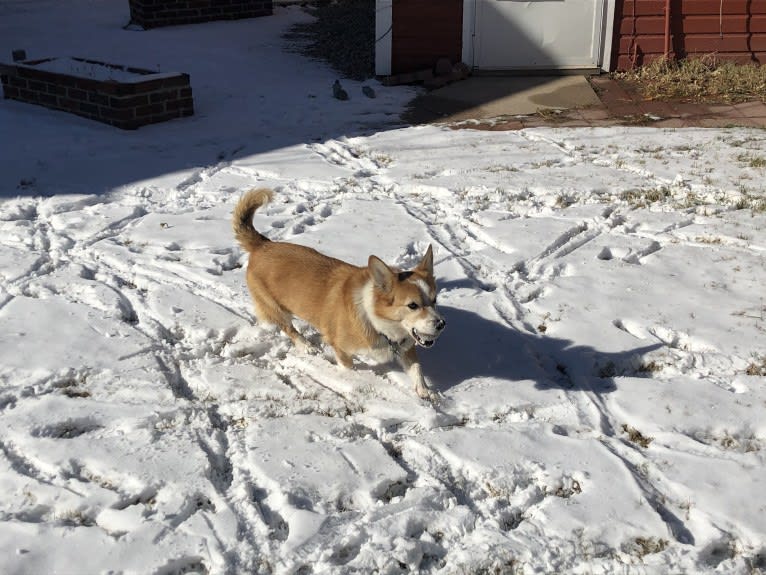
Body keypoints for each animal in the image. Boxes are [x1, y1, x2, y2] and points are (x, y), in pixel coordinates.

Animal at [231, 189, 448, 400]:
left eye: (435, 300)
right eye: (413, 305)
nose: (441, 324)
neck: (379, 323)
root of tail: (263, 245)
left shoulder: (407, 346)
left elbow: (417, 369)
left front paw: (425, 391)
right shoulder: (341, 347)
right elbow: (348, 366)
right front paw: (352, 379)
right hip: (276, 308)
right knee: (288, 328)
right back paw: (306, 345)